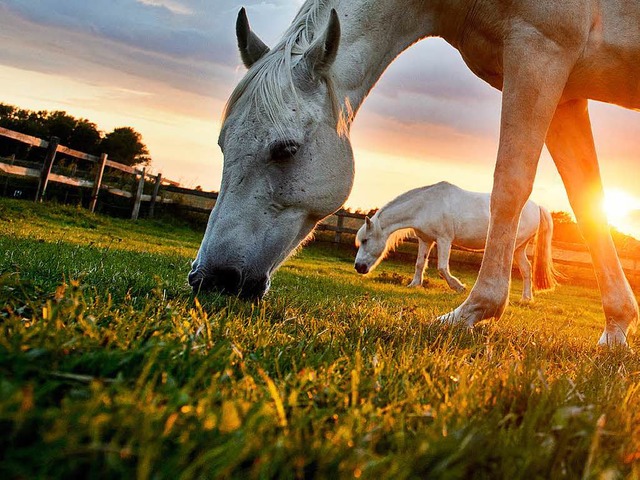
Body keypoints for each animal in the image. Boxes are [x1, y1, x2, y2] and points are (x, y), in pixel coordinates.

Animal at [352, 182, 556, 302]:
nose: (359, 267)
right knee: (527, 270)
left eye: (365, 240)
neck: (426, 205)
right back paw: (526, 298)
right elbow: (420, 264)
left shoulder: (444, 240)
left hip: (513, 247)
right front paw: (414, 285)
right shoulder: (425, 240)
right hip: (519, 249)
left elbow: (442, 268)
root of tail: (537, 207)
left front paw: (459, 287)